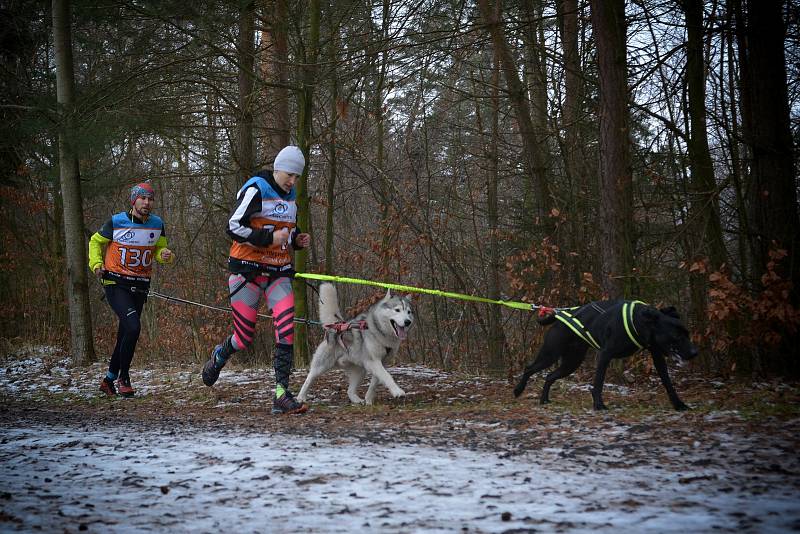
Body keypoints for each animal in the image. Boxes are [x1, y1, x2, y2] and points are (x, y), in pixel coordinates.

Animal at [516, 304, 696, 412]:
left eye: (687, 333)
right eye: (676, 336)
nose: (695, 352)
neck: (639, 321)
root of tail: (559, 315)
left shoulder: (658, 356)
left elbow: (668, 383)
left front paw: (679, 404)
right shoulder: (605, 355)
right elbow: (598, 383)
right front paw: (598, 405)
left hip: (572, 362)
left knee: (549, 376)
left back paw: (544, 400)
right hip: (551, 354)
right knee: (529, 368)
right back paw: (518, 390)